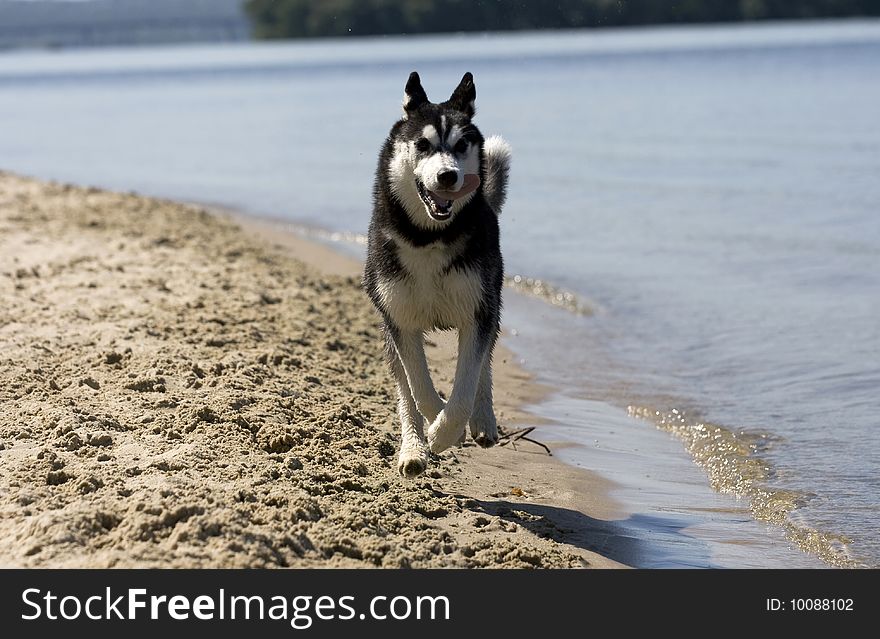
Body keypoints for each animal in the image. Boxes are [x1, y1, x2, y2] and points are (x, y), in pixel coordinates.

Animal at [364, 71, 512, 480]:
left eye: (461, 145)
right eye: (423, 144)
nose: (448, 176)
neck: (429, 237)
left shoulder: (476, 313)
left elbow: (466, 384)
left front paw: (448, 432)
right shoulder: (399, 319)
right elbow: (418, 388)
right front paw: (434, 430)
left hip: (490, 299)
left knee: (485, 364)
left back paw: (482, 420)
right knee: (404, 389)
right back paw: (413, 450)